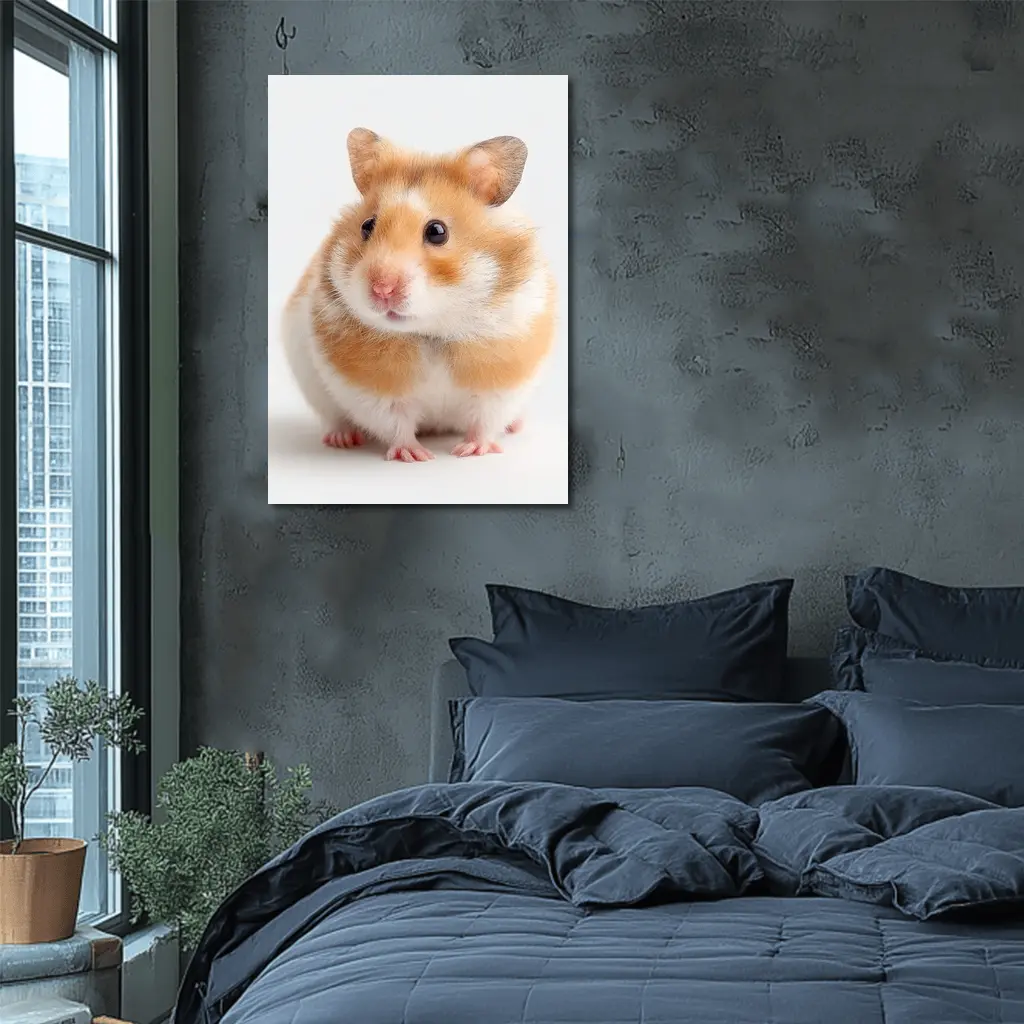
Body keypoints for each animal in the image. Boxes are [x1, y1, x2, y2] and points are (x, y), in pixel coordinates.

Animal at [281, 127, 556, 462]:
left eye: (437, 231)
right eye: (367, 226)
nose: (381, 288)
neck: (431, 332)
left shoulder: (504, 379)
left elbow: (485, 420)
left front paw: (471, 451)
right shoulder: (372, 390)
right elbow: (396, 423)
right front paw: (415, 456)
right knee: (334, 418)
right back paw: (342, 439)